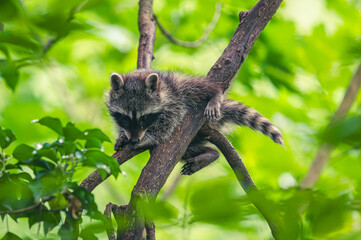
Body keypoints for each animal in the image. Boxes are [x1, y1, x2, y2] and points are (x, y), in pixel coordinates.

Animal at [105, 69, 282, 174]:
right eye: (125, 119)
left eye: (145, 118)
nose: (135, 139)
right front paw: (122, 136)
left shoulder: (171, 99)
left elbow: (168, 122)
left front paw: (149, 138)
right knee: (186, 150)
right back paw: (211, 153)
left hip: (181, 85)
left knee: (198, 87)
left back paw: (214, 94)